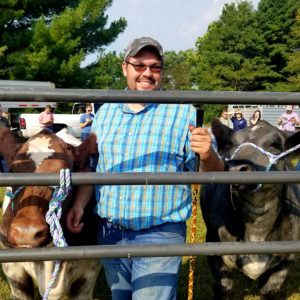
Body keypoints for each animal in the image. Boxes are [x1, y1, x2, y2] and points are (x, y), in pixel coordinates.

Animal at [200, 119, 300, 300]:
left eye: (275, 145)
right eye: (232, 143)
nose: (234, 168)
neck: (256, 231)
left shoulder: (286, 261)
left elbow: (269, 291)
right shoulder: (214, 250)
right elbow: (223, 287)